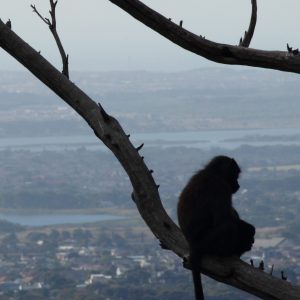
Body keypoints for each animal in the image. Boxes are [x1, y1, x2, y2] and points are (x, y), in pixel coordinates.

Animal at [178, 156, 255, 300]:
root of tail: (192, 245)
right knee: (228, 227)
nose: (238, 185)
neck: (213, 173)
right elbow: (223, 219)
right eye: (235, 175)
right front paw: (249, 231)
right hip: (207, 243)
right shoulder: (220, 187)